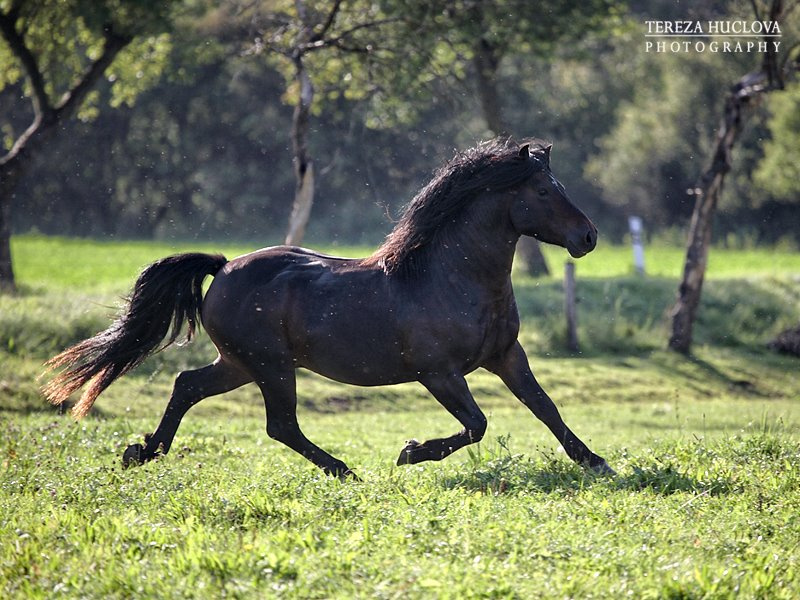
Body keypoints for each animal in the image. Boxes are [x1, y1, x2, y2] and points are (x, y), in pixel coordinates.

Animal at [44, 138, 614, 478]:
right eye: (543, 190)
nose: (588, 237)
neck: (452, 279)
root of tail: (223, 268)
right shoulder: (439, 372)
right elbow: (477, 424)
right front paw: (410, 452)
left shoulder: (507, 356)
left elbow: (545, 407)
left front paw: (595, 461)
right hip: (271, 365)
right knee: (281, 426)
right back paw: (346, 470)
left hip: (241, 364)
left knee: (188, 386)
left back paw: (143, 451)